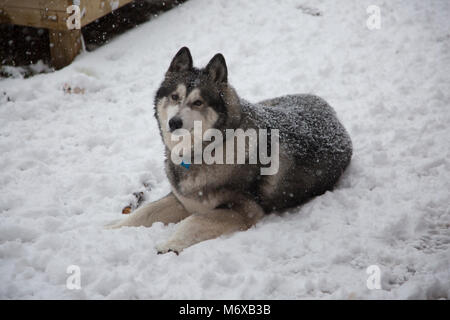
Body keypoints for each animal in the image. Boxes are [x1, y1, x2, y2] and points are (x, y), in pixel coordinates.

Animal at [108, 46, 352, 254]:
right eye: (175, 97)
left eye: (198, 102)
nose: (174, 123)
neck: (205, 151)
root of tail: (327, 106)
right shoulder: (182, 200)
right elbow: (144, 212)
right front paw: (110, 228)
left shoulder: (244, 209)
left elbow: (192, 220)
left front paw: (170, 244)